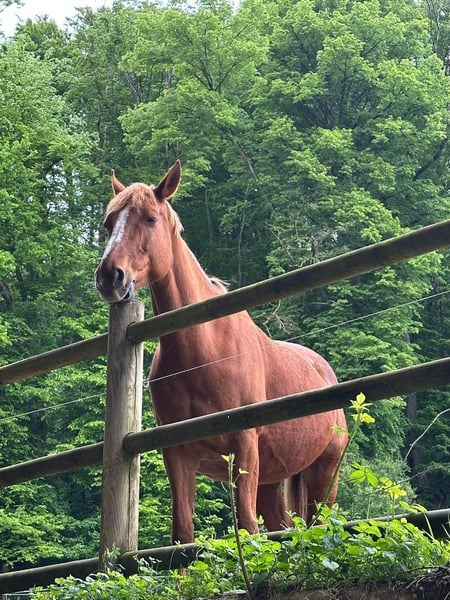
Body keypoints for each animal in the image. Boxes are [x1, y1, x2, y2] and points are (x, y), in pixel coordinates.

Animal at [95, 160, 347, 544]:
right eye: (109, 223)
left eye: (150, 218)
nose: (110, 276)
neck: (205, 351)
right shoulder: (178, 453)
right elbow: (183, 535)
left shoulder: (243, 446)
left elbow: (246, 527)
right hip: (273, 481)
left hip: (324, 472)